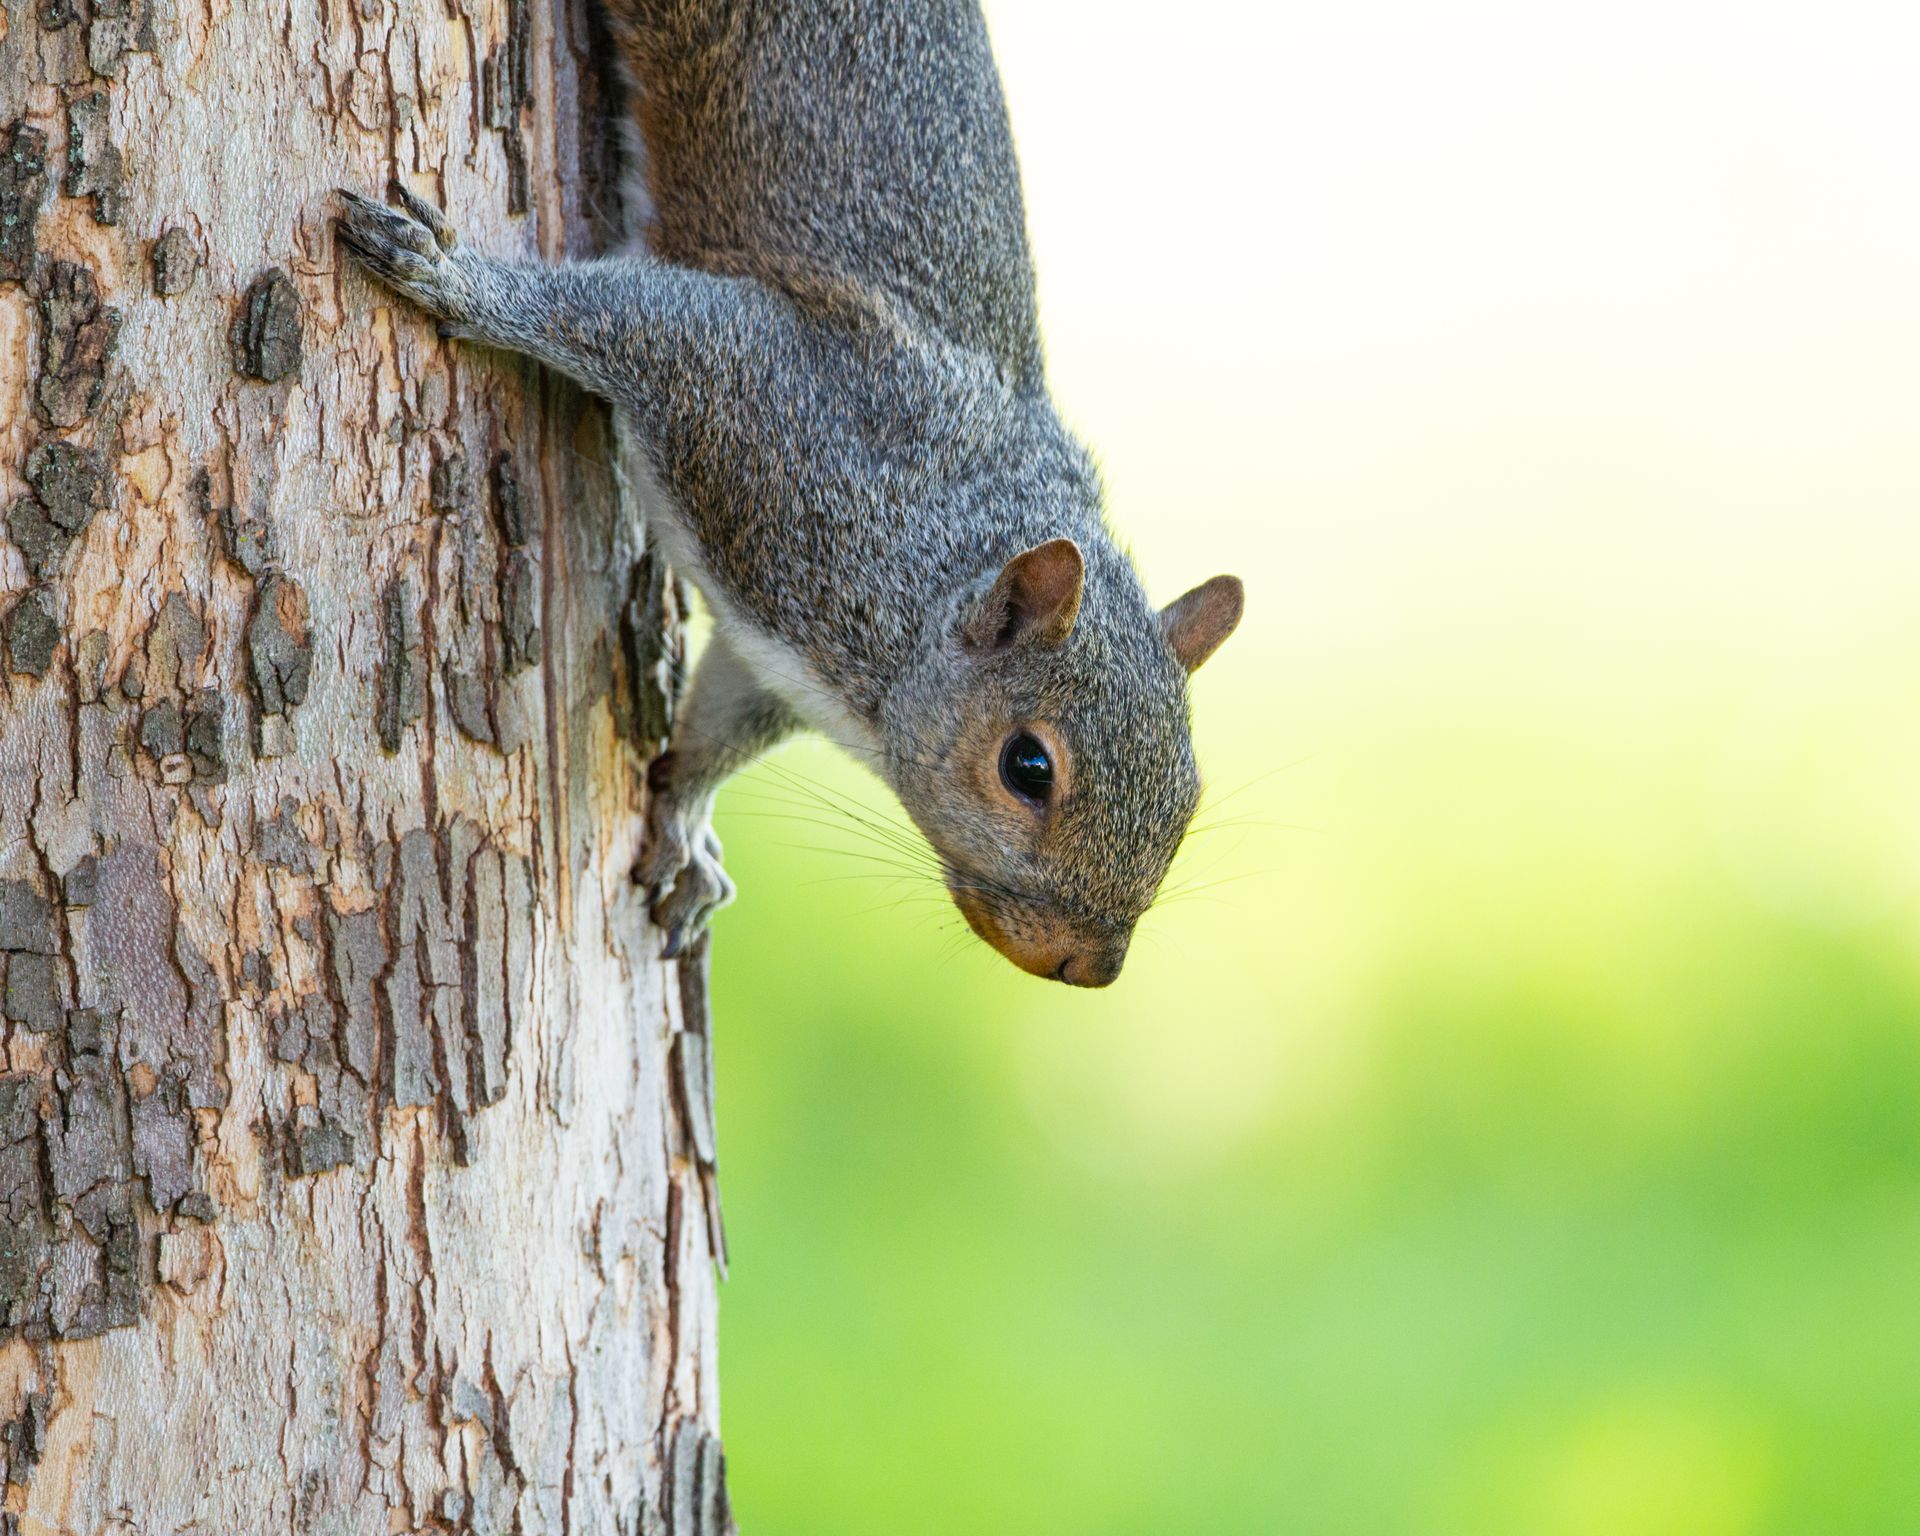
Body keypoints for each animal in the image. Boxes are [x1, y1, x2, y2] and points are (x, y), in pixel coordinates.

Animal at [336, 0, 1243, 987]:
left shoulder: (773, 643)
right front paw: (458, 278)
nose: (1089, 967)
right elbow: (614, 312)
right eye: (1027, 768)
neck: (916, 576)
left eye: (1190, 796)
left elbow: (720, 723)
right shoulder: (753, 394)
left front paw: (684, 825)